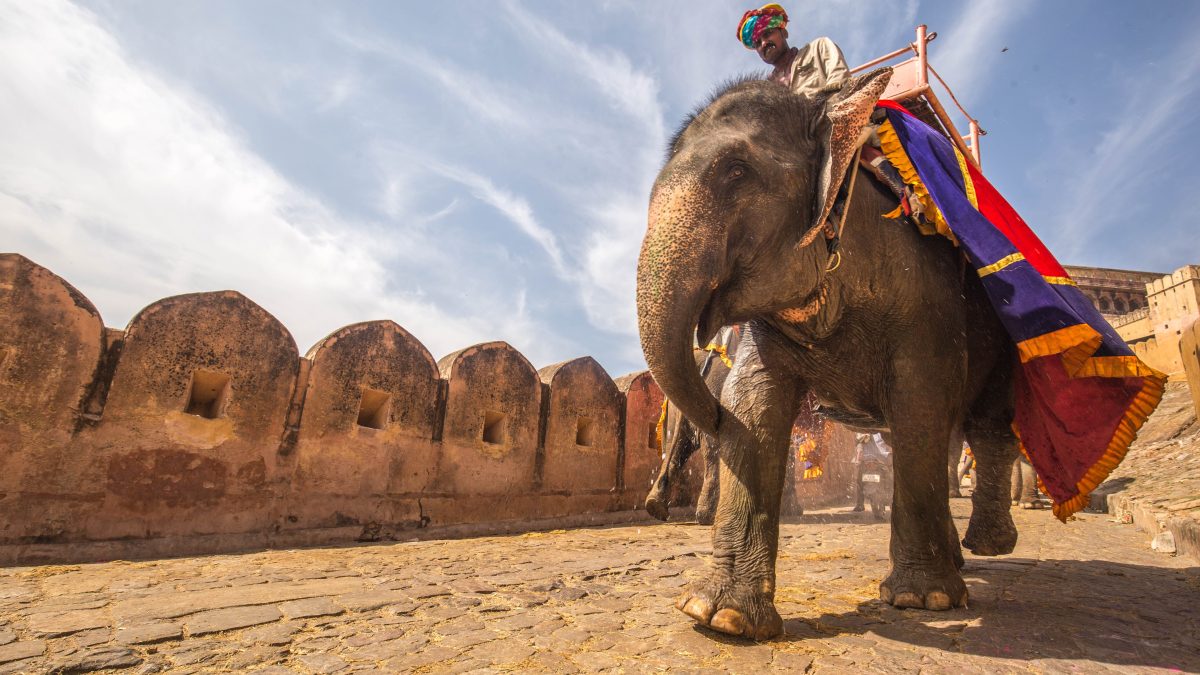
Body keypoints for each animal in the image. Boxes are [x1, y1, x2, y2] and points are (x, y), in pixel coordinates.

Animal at [638, 69, 1022, 638]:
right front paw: (720, 617)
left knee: (986, 426)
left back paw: (988, 546)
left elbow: (922, 402)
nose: (711, 412)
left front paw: (923, 601)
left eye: (736, 171)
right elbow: (752, 403)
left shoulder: (926, 295)